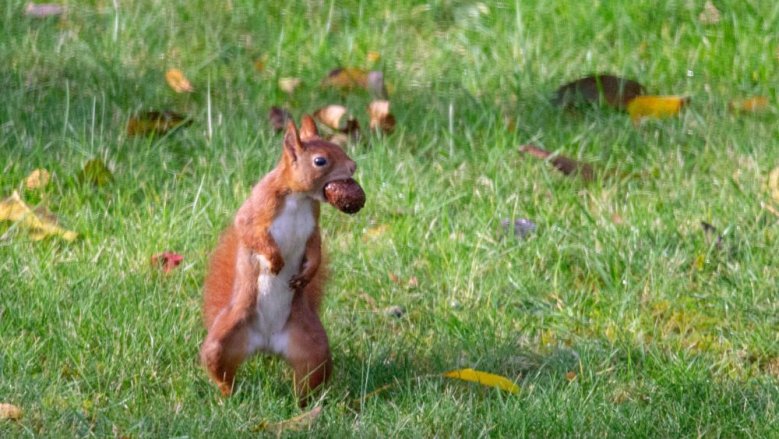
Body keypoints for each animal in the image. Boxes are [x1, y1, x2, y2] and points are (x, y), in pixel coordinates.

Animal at [200, 115, 356, 405]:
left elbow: (315, 249)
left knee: (310, 376)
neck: (299, 197)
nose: (353, 166)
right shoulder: (257, 208)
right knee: (220, 369)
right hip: (224, 341)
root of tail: (266, 342)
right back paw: (229, 397)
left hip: (311, 347)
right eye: (320, 160)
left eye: (335, 145)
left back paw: (303, 405)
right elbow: (250, 231)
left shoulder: (313, 227)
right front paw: (275, 260)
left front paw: (307, 274)